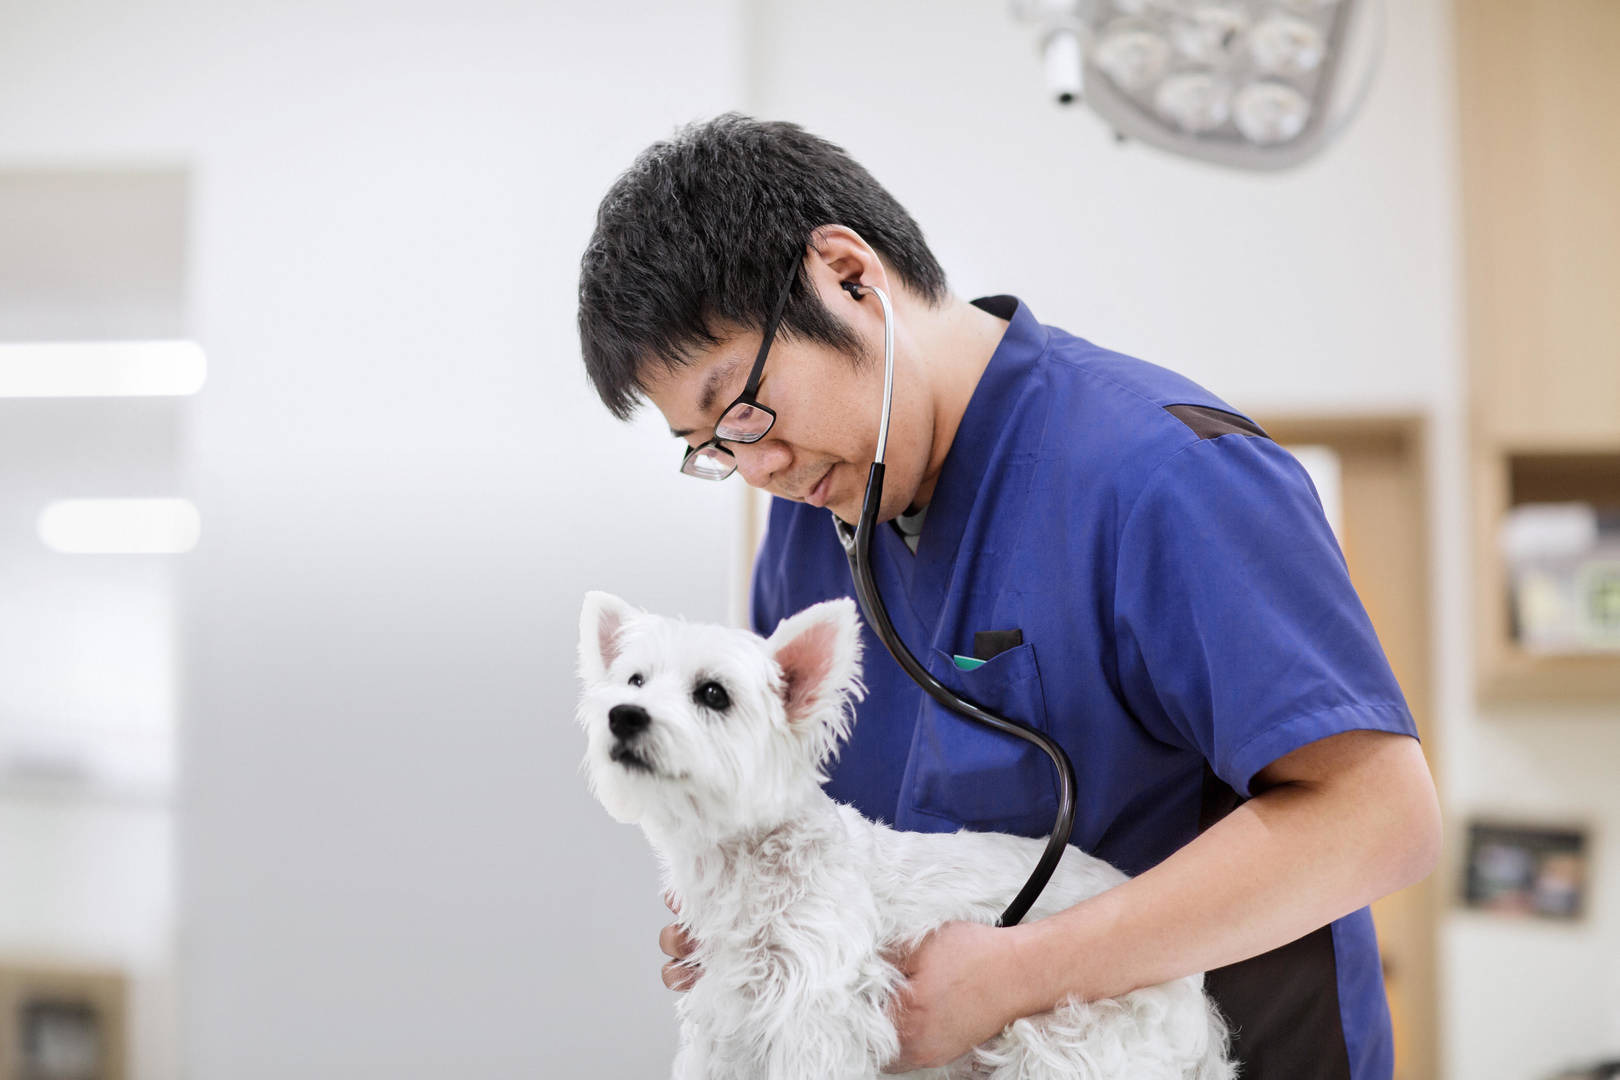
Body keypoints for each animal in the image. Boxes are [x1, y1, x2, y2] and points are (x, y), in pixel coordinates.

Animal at [576, 595, 1231, 1075]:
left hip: (1068, 1040)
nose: (623, 715)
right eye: (634, 681)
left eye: (712, 694)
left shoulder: (816, 1012)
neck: (745, 861)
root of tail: (1199, 1014)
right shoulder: (725, 1014)